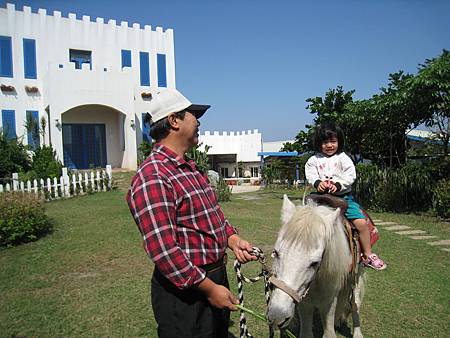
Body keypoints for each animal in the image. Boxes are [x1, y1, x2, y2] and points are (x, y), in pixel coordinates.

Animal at [268, 195, 366, 338]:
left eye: (314, 263)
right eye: (275, 253)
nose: (277, 315)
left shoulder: (329, 302)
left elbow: (329, 332)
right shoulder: (303, 302)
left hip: (357, 275)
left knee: (355, 303)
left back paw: (357, 333)